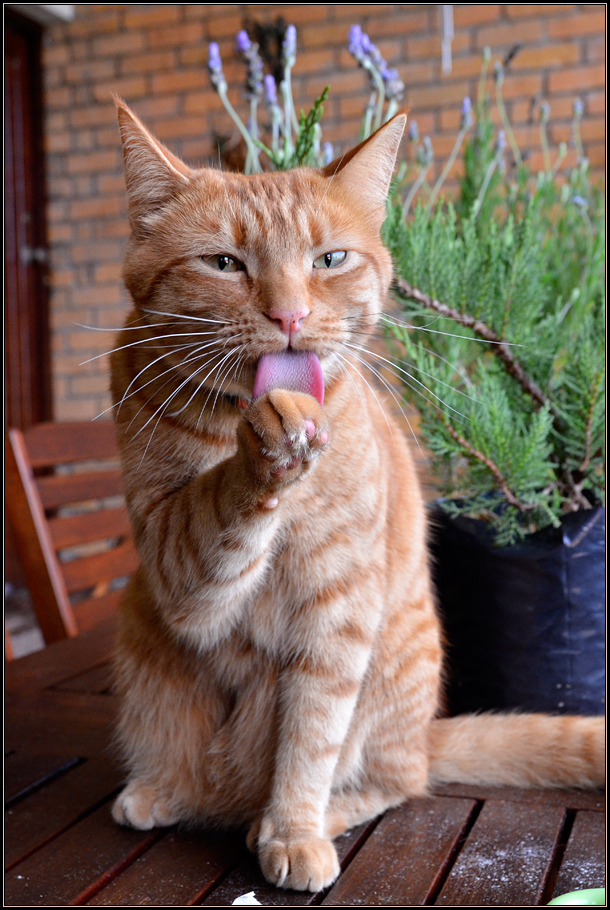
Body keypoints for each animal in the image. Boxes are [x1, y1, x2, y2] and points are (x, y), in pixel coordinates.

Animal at [110, 100, 604, 892]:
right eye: (224, 263)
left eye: (328, 260)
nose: (288, 316)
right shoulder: (174, 568)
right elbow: (215, 514)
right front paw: (264, 451)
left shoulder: (338, 610)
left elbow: (311, 739)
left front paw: (292, 832)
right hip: (138, 625)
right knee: (206, 777)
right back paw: (168, 790)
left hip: (393, 663)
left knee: (396, 779)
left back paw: (285, 818)